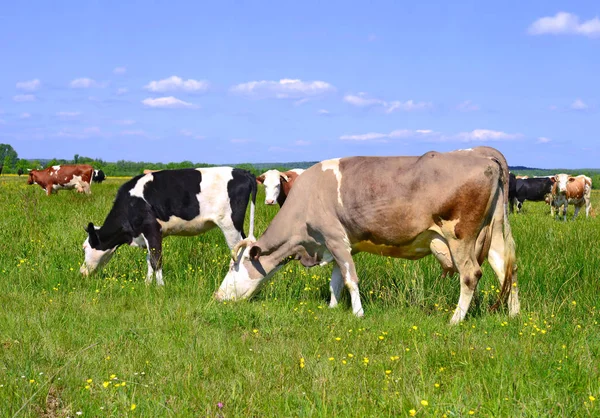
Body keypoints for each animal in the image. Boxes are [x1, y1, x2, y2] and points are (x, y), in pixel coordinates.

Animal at [79, 168, 255, 286]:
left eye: (85, 247)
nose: (82, 272)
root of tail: (244, 172)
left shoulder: (151, 229)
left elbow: (156, 259)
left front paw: (160, 287)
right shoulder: (148, 235)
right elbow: (149, 259)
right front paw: (147, 284)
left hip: (230, 225)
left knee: (238, 251)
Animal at [217, 147, 520, 324]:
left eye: (234, 268)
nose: (217, 297)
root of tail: (482, 154)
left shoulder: (335, 238)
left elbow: (350, 279)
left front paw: (358, 313)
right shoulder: (340, 245)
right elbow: (336, 279)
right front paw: (332, 308)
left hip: (461, 237)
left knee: (471, 274)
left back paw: (455, 321)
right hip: (495, 235)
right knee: (508, 269)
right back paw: (514, 316)